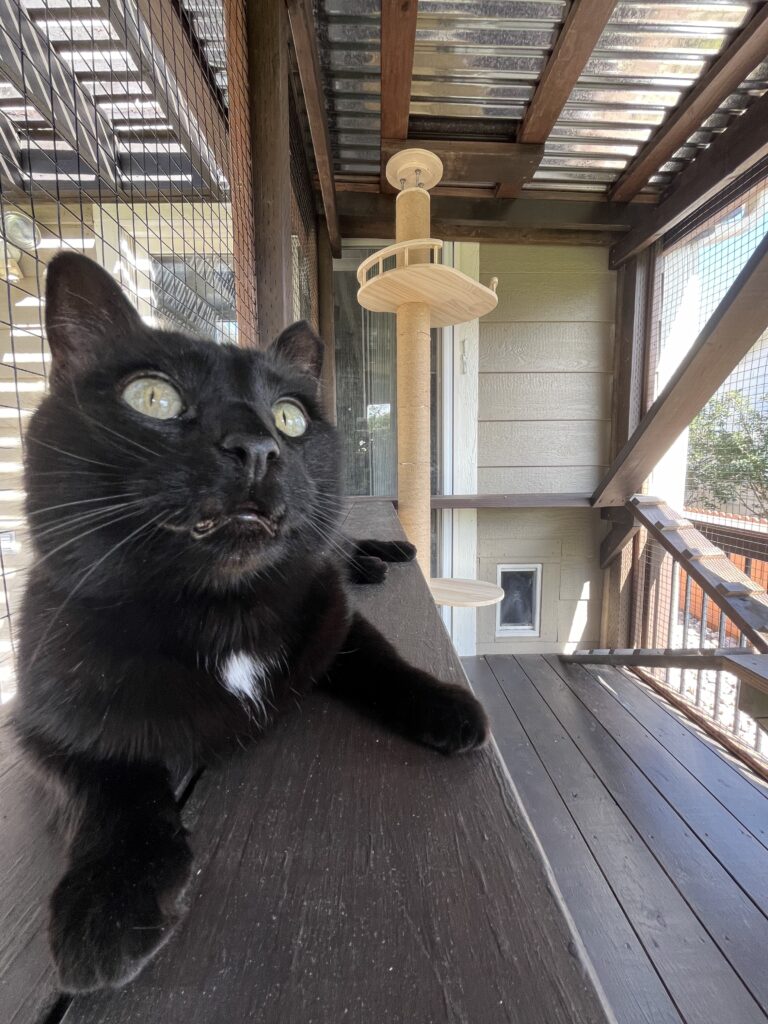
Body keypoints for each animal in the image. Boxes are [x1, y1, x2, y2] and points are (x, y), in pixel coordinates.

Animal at [15, 253, 489, 991]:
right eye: (152, 398)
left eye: (289, 417)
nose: (258, 447)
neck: (226, 612)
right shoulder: (44, 721)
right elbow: (114, 785)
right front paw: (108, 904)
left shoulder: (329, 617)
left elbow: (382, 659)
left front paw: (446, 706)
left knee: (338, 544)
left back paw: (382, 555)